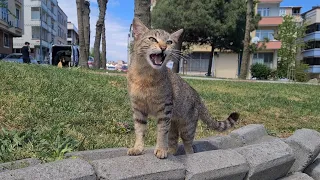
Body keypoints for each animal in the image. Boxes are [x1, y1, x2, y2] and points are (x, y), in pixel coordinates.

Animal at [126, 17, 239, 159]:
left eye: (169, 42)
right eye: (152, 39)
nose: (163, 47)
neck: (145, 76)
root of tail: (198, 98)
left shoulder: (165, 109)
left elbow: (161, 132)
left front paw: (160, 149)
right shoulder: (138, 109)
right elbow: (140, 131)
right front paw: (138, 148)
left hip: (187, 129)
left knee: (189, 146)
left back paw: (187, 154)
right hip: (173, 127)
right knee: (174, 144)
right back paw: (170, 152)